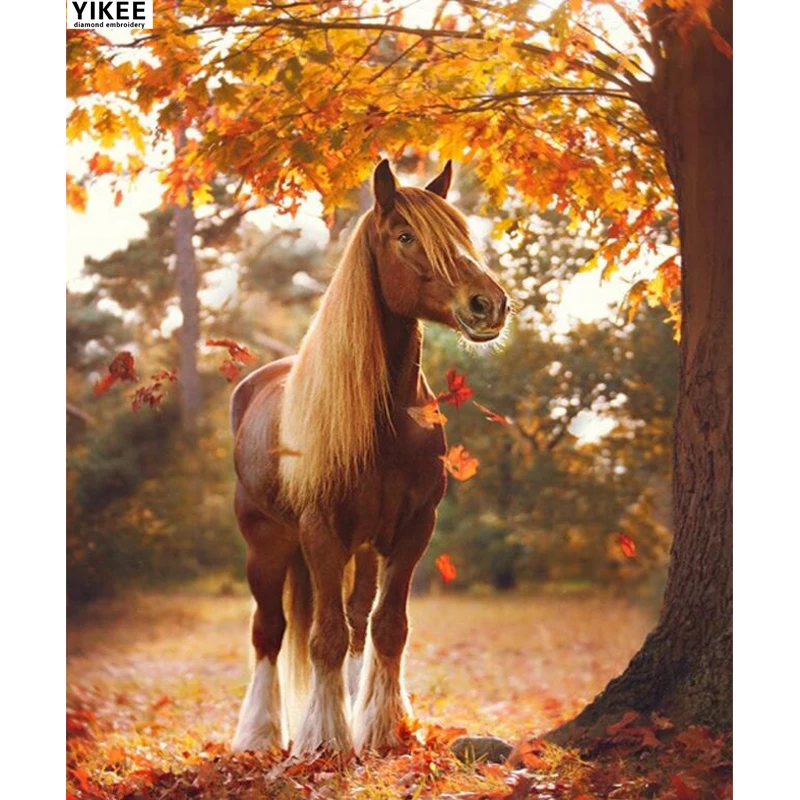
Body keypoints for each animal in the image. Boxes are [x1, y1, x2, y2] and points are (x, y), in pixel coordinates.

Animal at [229, 159, 509, 755]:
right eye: (405, 237)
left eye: (461, 232)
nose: (489, 303)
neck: (387, 423)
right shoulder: (320, 530)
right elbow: (326, 637)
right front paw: (324, 741)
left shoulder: (411, 529)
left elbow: (387, 627)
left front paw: (381, 728)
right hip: (267, 543)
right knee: (269, 631)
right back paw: (258, 734)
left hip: (361, 547)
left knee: (358, 621)